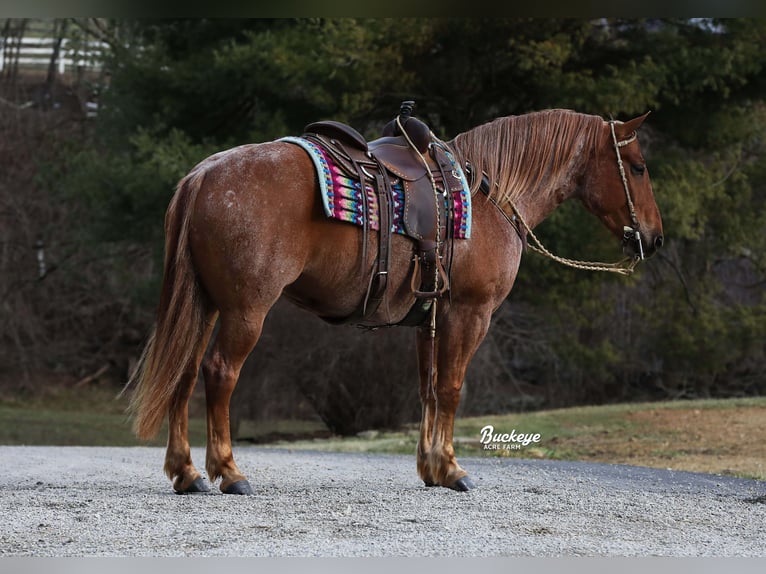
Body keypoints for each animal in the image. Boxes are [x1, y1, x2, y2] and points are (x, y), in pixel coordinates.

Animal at [127, 108, 664, 496]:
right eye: (638, 167)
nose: (654, 239)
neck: (488, 196)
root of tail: (204, 174)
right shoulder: (470, 314)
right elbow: (451, 387)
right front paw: (452, 469)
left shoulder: (430, 317)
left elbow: (428, 389)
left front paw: (431, 468)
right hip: (245, 311)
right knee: (220, 373)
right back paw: (229, 472)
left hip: (205, 306)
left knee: (184, 373)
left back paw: (187, 473)